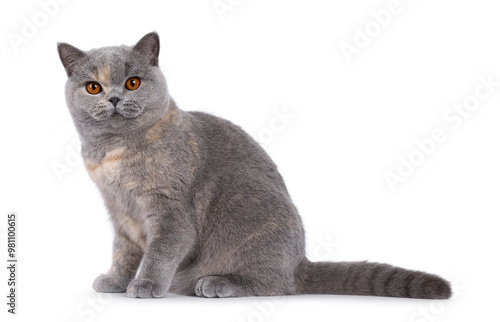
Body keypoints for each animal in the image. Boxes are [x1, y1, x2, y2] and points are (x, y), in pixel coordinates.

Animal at [58, 32, 454, 300]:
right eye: (93, 87)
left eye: (133, 82)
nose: (113, 98)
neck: (114, 152)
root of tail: (300, 263)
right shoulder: (119, 212)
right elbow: (123, 252)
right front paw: (114, 281)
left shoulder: (171, 212)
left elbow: (160, 251)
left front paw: (147, 285)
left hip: (248, 210)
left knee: (274, 285)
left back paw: (217, 283)